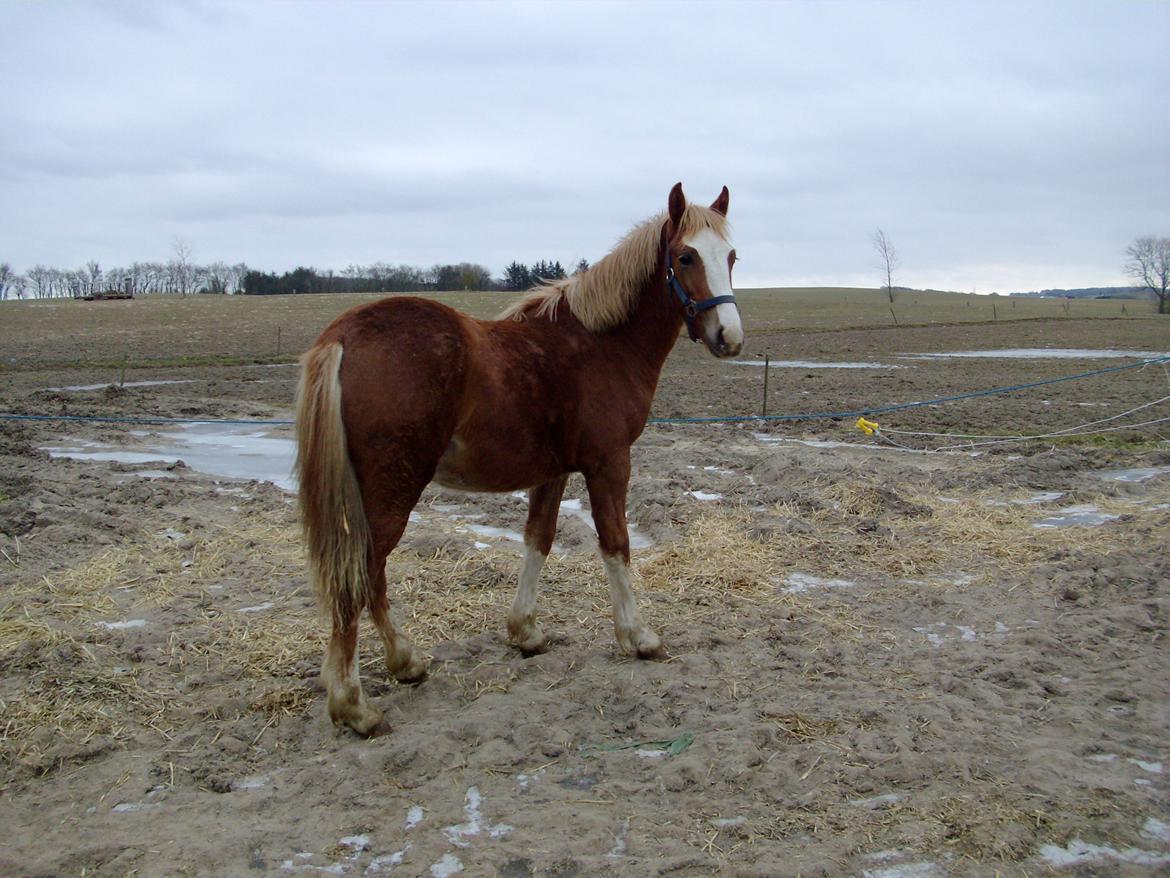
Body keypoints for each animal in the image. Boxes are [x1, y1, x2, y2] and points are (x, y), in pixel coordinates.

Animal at [299, 183, 739, 735]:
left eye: (731, 256)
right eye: (685, 257)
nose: (729, 337)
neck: (599, 344)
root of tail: (342, 335)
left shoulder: (552, 472)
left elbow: (538, 540)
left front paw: (524, 631)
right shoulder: (609, 463)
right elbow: (615, 544)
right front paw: (637, 637)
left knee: (371, 576)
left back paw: (404, 662)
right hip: (394, 488)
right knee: (361, 574)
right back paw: (353, 703)